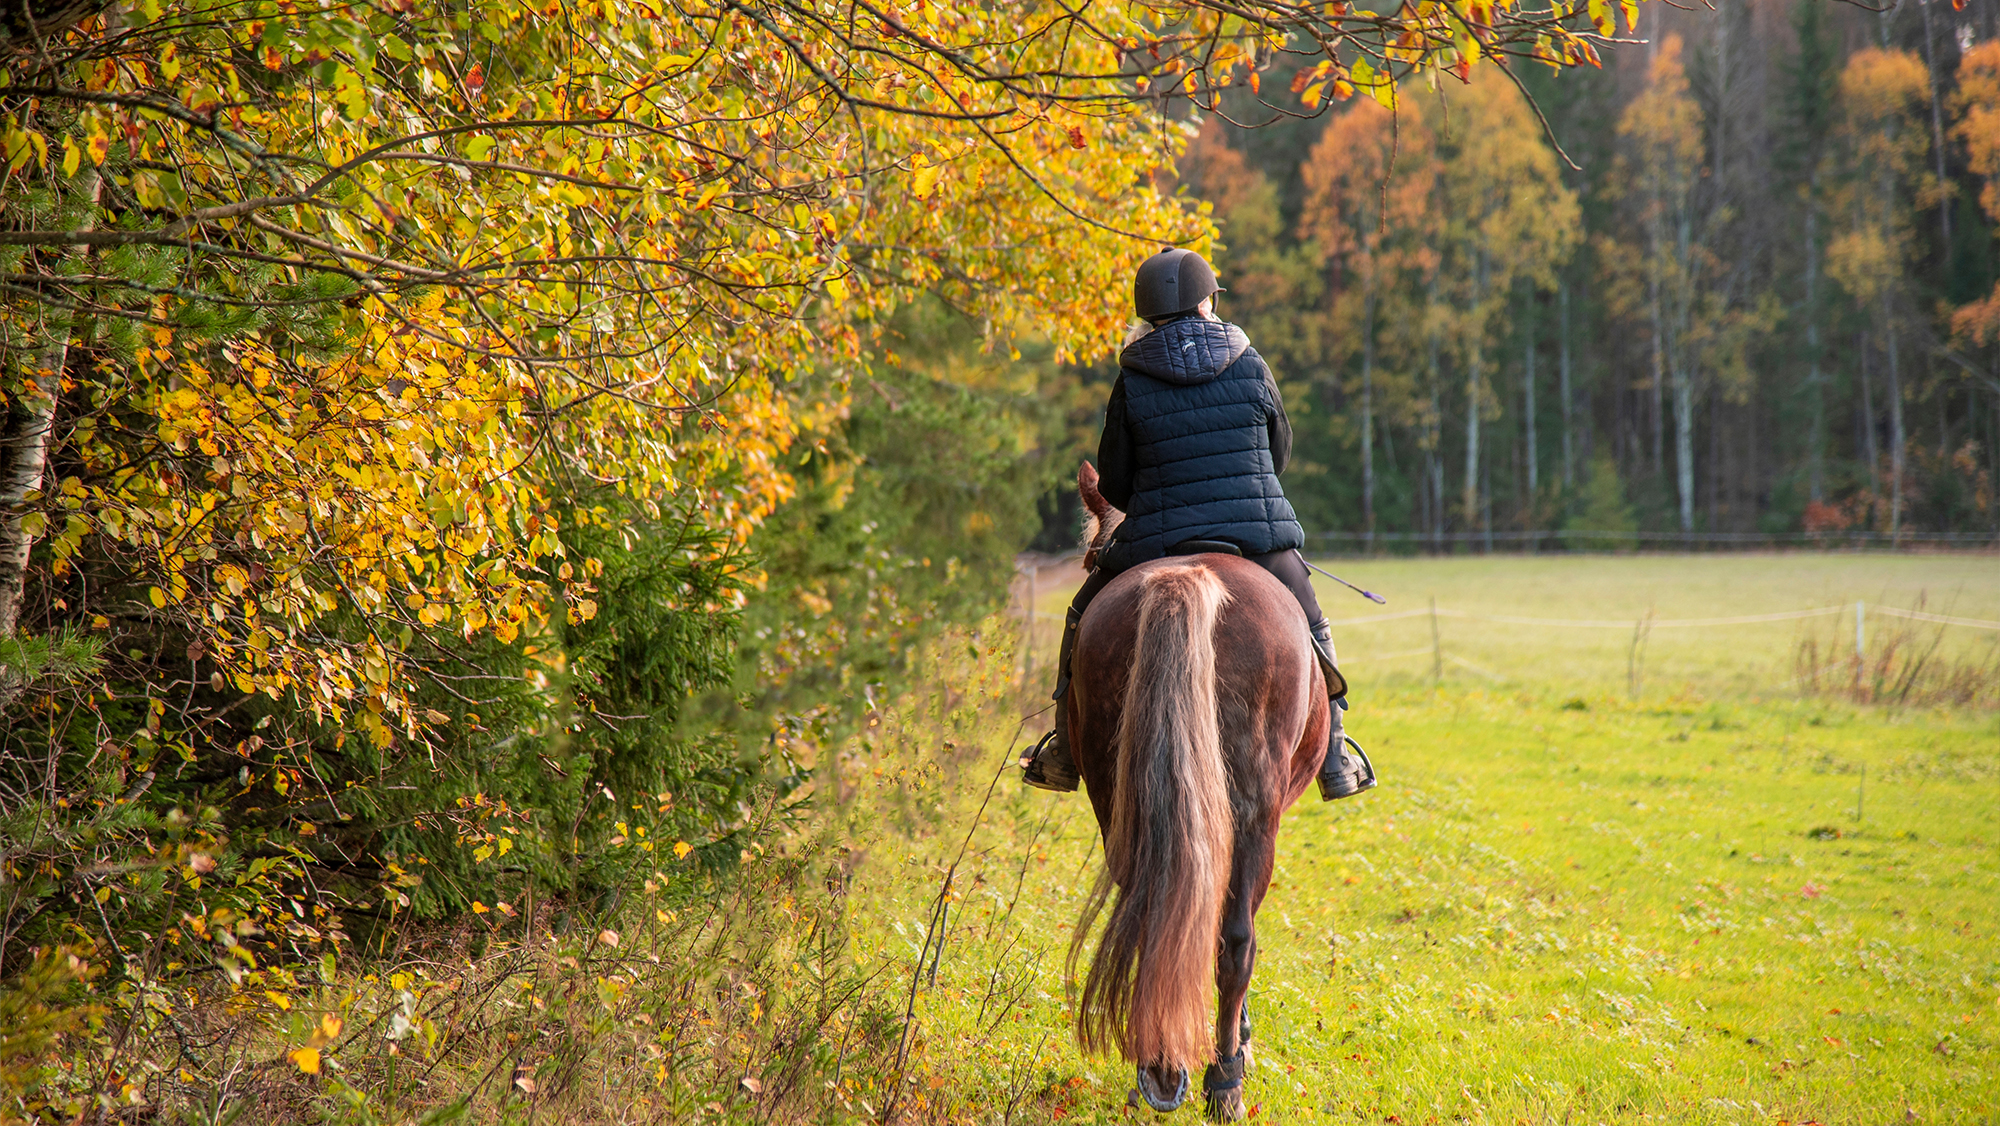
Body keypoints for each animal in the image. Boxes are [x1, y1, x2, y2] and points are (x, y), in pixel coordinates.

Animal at [1063, 463, 1330, 1120]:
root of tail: (1189, 576)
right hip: (1257, 813)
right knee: (1236, 940)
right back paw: (1224, 1078)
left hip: (1116, 793)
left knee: (1155, 913)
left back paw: (1159, 1067)